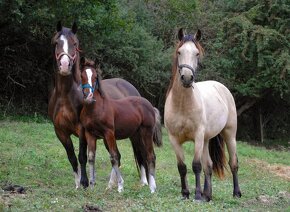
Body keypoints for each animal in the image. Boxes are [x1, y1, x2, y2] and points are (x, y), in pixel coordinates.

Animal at [49, 21, 147, 187]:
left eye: (75, 44)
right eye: (57, 43)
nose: (65, 65)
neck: (65, 95)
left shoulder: (82, 130)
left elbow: (82, 156)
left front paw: (84, 182)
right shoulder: (60, 131)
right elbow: (72, 157)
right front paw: (77, 184)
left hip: (134, 134)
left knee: (140, 155)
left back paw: (143, 182)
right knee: (118, 156)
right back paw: (113, 184)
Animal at [79, 57, 162, 193]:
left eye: (95, 76)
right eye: (82, 76)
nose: (89, 96)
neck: (95, 108)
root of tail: (149, 105)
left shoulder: (109, 133)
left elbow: (114, 157)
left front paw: (120, 186)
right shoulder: (90, 134)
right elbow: (91, 157)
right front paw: (92, 186)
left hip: (146, 133)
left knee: (151, 156)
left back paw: (152, 188)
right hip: (136, 135)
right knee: (143, 155)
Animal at [164, 29, 241, 201]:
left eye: (197, 53)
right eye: (179, 52)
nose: (187, 78)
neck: (182, 105)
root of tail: (220, 86)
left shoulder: (198, 136)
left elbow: (196, 166)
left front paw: (197, 195)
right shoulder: (174, 139)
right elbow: (182, 167)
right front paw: (185, 193)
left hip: (229, 135)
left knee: (233, 163)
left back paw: (236, 193)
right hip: (206, 140)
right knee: (209, 166)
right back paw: (208, 195)